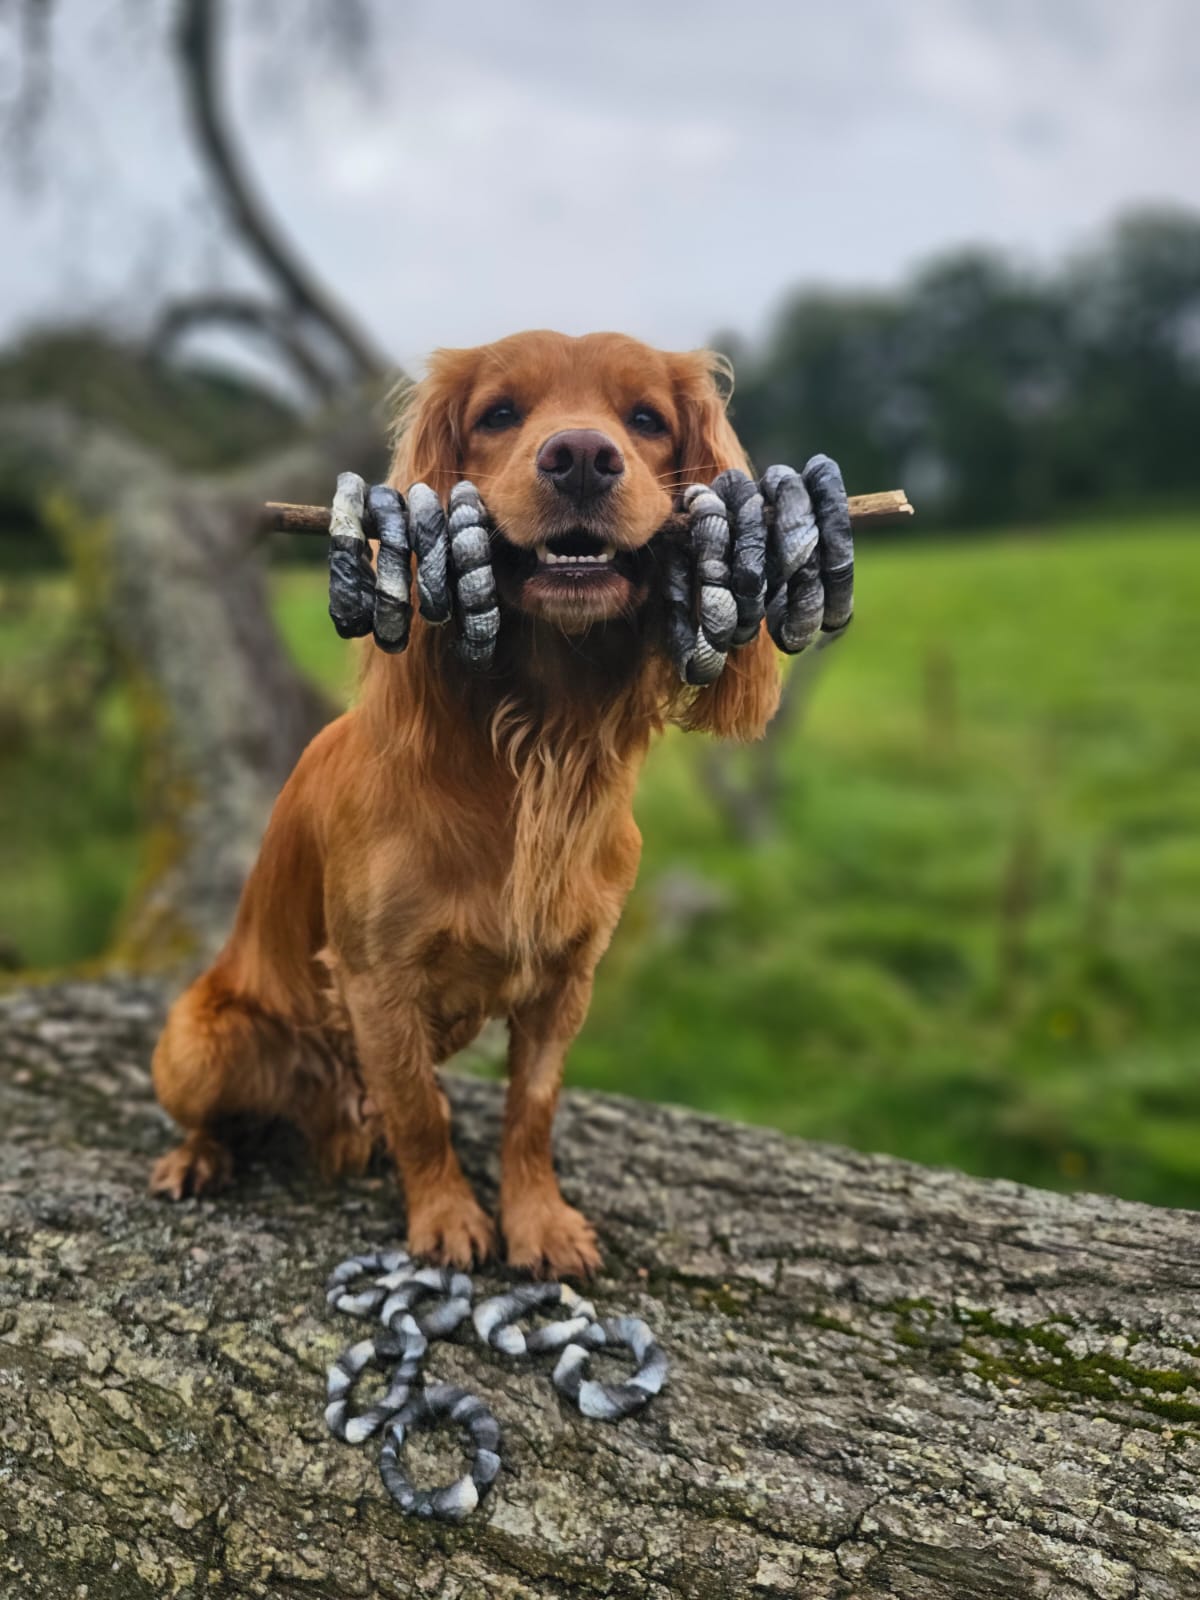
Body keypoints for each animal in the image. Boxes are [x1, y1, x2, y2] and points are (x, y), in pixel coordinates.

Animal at [150, 328, 784, 1273]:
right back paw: (196, 1159)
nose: (581, 457)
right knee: (218, 1115)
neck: (533, 745)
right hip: (200, 1042)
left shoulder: (565, 979)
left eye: (645, 420)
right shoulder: (376, 978)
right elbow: (419, 1113)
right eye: (499, 414)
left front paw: (539, 1221)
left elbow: (532, 1110)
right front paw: (448, 1218)